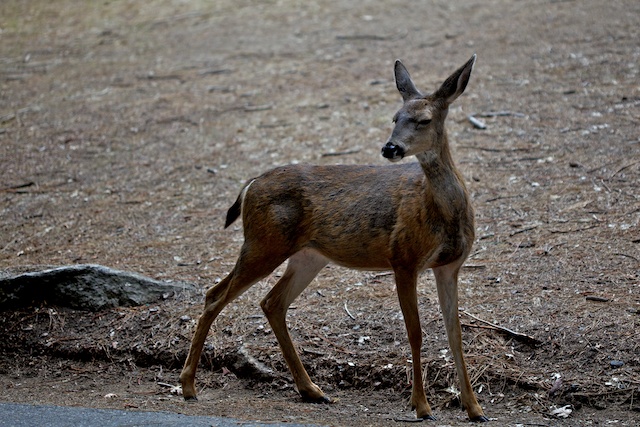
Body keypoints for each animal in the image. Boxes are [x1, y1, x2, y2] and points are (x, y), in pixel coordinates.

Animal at [178, 52, 488, 422]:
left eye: (424, 119)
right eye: (394, 117)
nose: (390, 147)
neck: (442, 212)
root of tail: (250, 184)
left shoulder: (449, 266)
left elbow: (455, 334)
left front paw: (475, 409)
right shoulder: (403, 258)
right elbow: (415, 332)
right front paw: (421, 406)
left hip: (307, 256)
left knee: (271, 302)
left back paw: (312, 390)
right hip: (263, 244)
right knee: (215, 295)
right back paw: (188, 386)